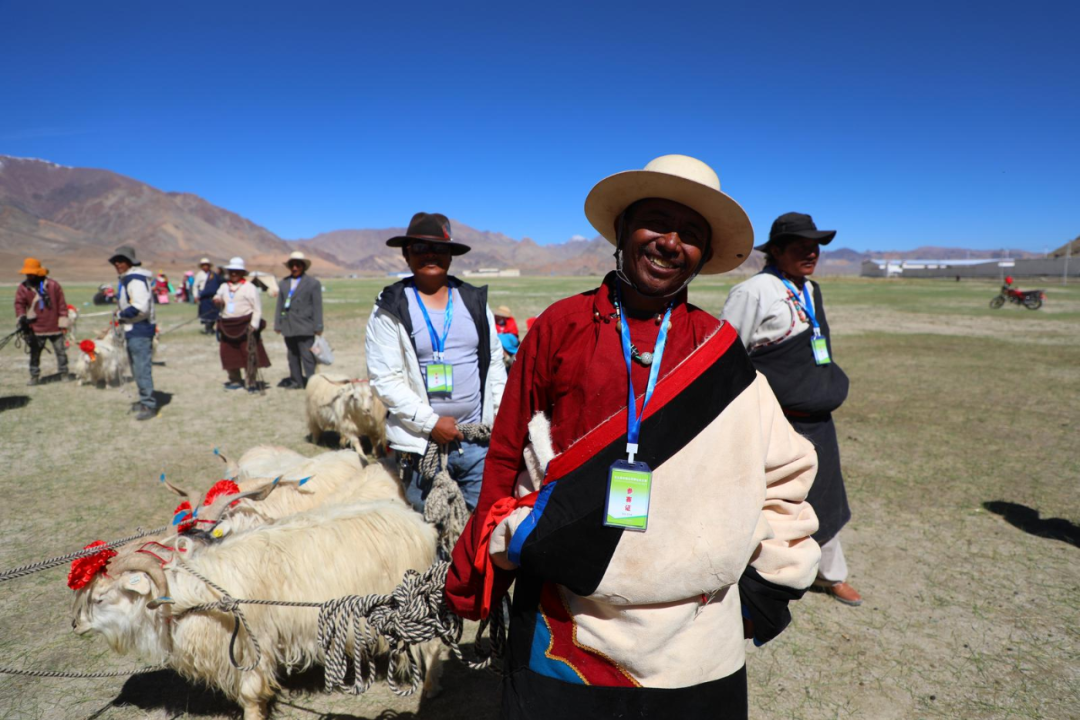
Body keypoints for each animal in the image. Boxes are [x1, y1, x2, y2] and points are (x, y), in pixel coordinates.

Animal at [73, 500, 440, 720]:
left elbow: (250, 693)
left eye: (100, 598)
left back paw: (430, 689)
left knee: (433, 646)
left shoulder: (250, 643)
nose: (75, 625)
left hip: (412, 607)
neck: (192, 596)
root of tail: (421, 524)